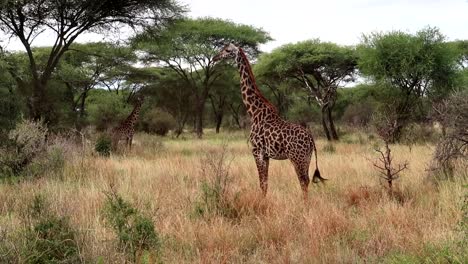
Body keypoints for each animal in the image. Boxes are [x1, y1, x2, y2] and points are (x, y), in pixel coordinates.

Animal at [213, 44, 326, 199]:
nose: (214, 57)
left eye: (227, 50)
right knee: (306, 180)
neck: (254, 112)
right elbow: (265, 183)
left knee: (303, 181)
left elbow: (262, 183)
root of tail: (311, 139)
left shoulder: (256, 151)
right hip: (306, 158)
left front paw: (262, 203)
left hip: (297, 158)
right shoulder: (266, 155)